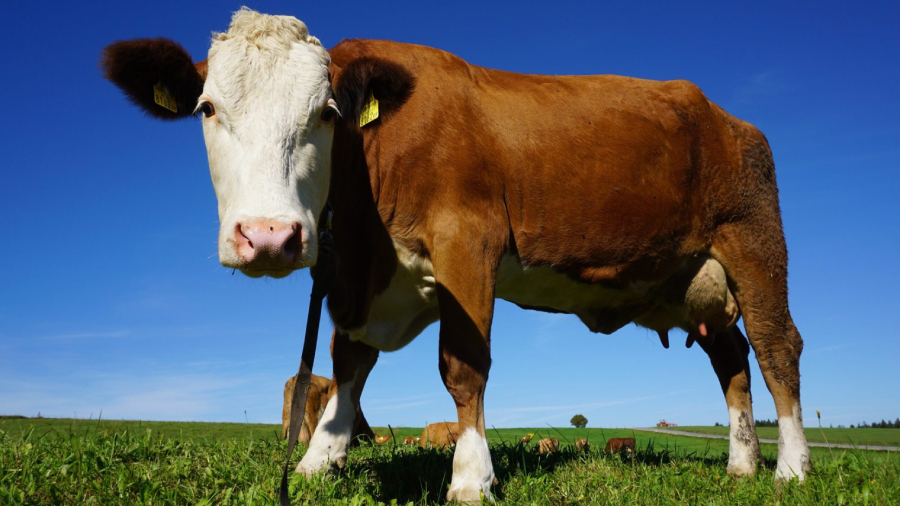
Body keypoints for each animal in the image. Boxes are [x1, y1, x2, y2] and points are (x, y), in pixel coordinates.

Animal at [102, 7, 811, 503]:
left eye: (326, 112)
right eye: (206, 108)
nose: (271, 236)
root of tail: (728, 118)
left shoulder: (468, 241)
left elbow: (462, 367)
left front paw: (471, 477)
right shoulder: (362, 280)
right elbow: (348, 365)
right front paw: (316, 462)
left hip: (753, 242)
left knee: (777, 349)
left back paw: (792, 469)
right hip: (690, 280)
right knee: (732, 360)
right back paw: (741, 466)